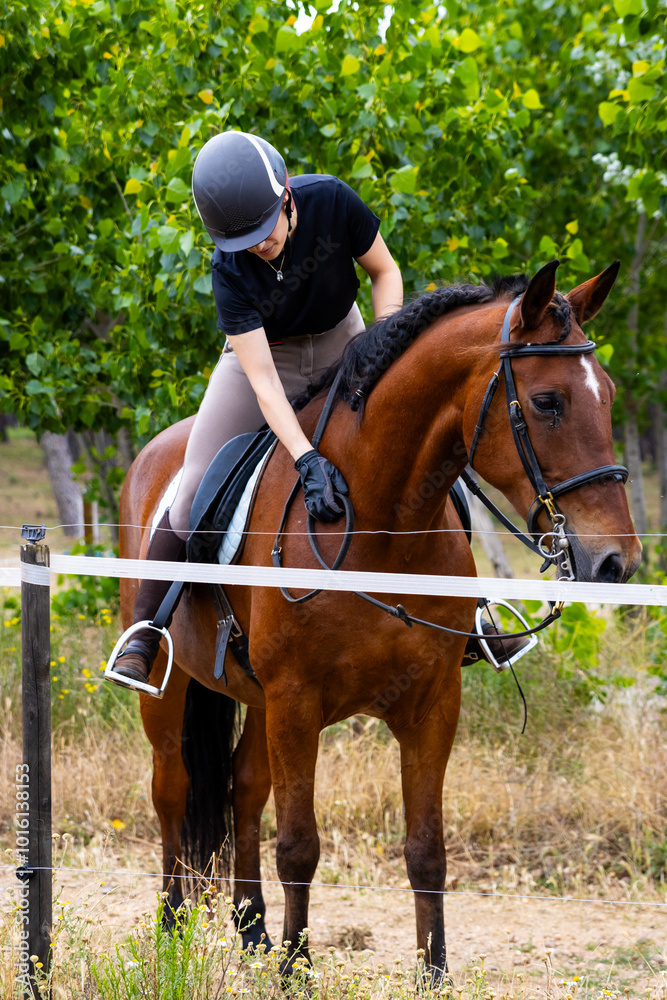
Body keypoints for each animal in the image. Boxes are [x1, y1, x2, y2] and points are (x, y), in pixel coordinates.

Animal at [118, 261, 641, 977]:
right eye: (547, 403)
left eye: (607, 396)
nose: (615, 560)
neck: (381, 519)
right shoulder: (297, 700)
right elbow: (300, 846)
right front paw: (297, 969)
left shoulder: (430, 704)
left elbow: (426, 850)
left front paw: (433, 972)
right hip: (173, 694)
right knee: (172, 791)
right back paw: (173, 927)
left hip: (259, 701)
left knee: (243, 789)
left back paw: (253, 931)